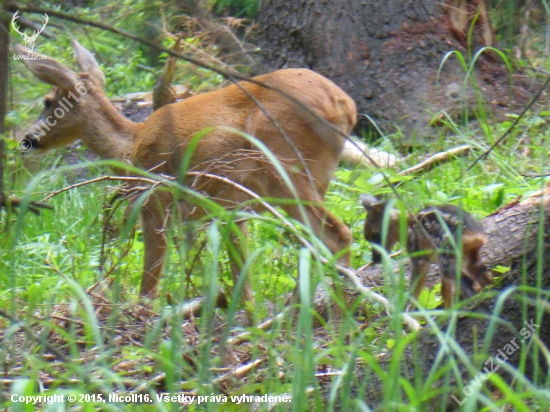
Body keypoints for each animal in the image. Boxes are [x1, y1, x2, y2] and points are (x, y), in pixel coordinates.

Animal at [15, 41, 360, 306]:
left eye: (48, 102)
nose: (26, 140)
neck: (131, 146)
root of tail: (345, 105)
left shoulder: (155, 201)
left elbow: (151, 275)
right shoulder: (231, 208)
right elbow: (242, 273)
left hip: (286, 169)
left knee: (337, 234)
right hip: (316, 178)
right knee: (314, 242)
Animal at [362, 195, 496, 308]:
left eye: (377, 234)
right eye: (366, 238)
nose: (375, 258)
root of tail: (475, 234)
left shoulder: (418, 256)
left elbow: (414, 291)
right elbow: (445, 291)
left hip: (447, 255)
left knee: (469, 284)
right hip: (466, 256)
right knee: (485, 278)